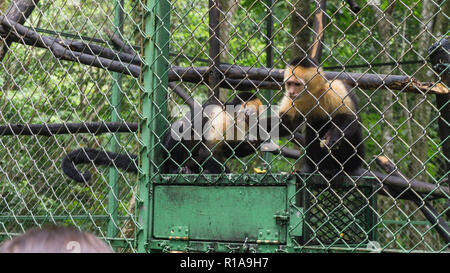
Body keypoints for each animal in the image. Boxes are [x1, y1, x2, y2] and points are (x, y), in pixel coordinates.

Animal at [61, 92, 262, 183]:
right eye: (249, 113)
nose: (253, 121)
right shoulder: (218, 114)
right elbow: (199, 140)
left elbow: (228, 150)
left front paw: (256, 141)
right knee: (184, 133)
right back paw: (177, 169)